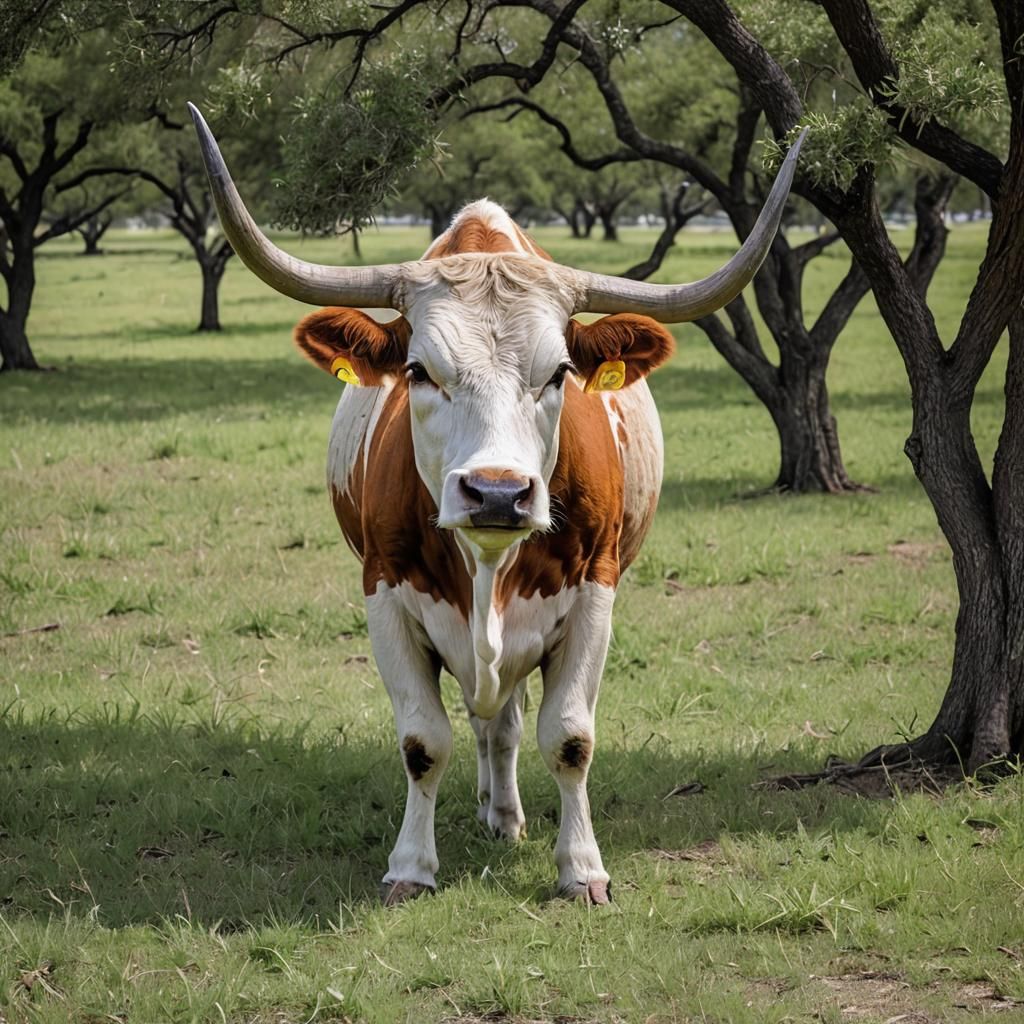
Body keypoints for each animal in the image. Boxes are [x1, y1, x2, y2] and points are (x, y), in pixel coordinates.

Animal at [189, 104, 803, 905]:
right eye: (419, 370)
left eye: (561, 371)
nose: (498, 492)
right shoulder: (385, 596)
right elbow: (424, 742)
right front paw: (410, 867)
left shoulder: (595, 595)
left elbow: (569, 738)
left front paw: (582, 869)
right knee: (488, 723)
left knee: (505, 722)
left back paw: (506, 814)